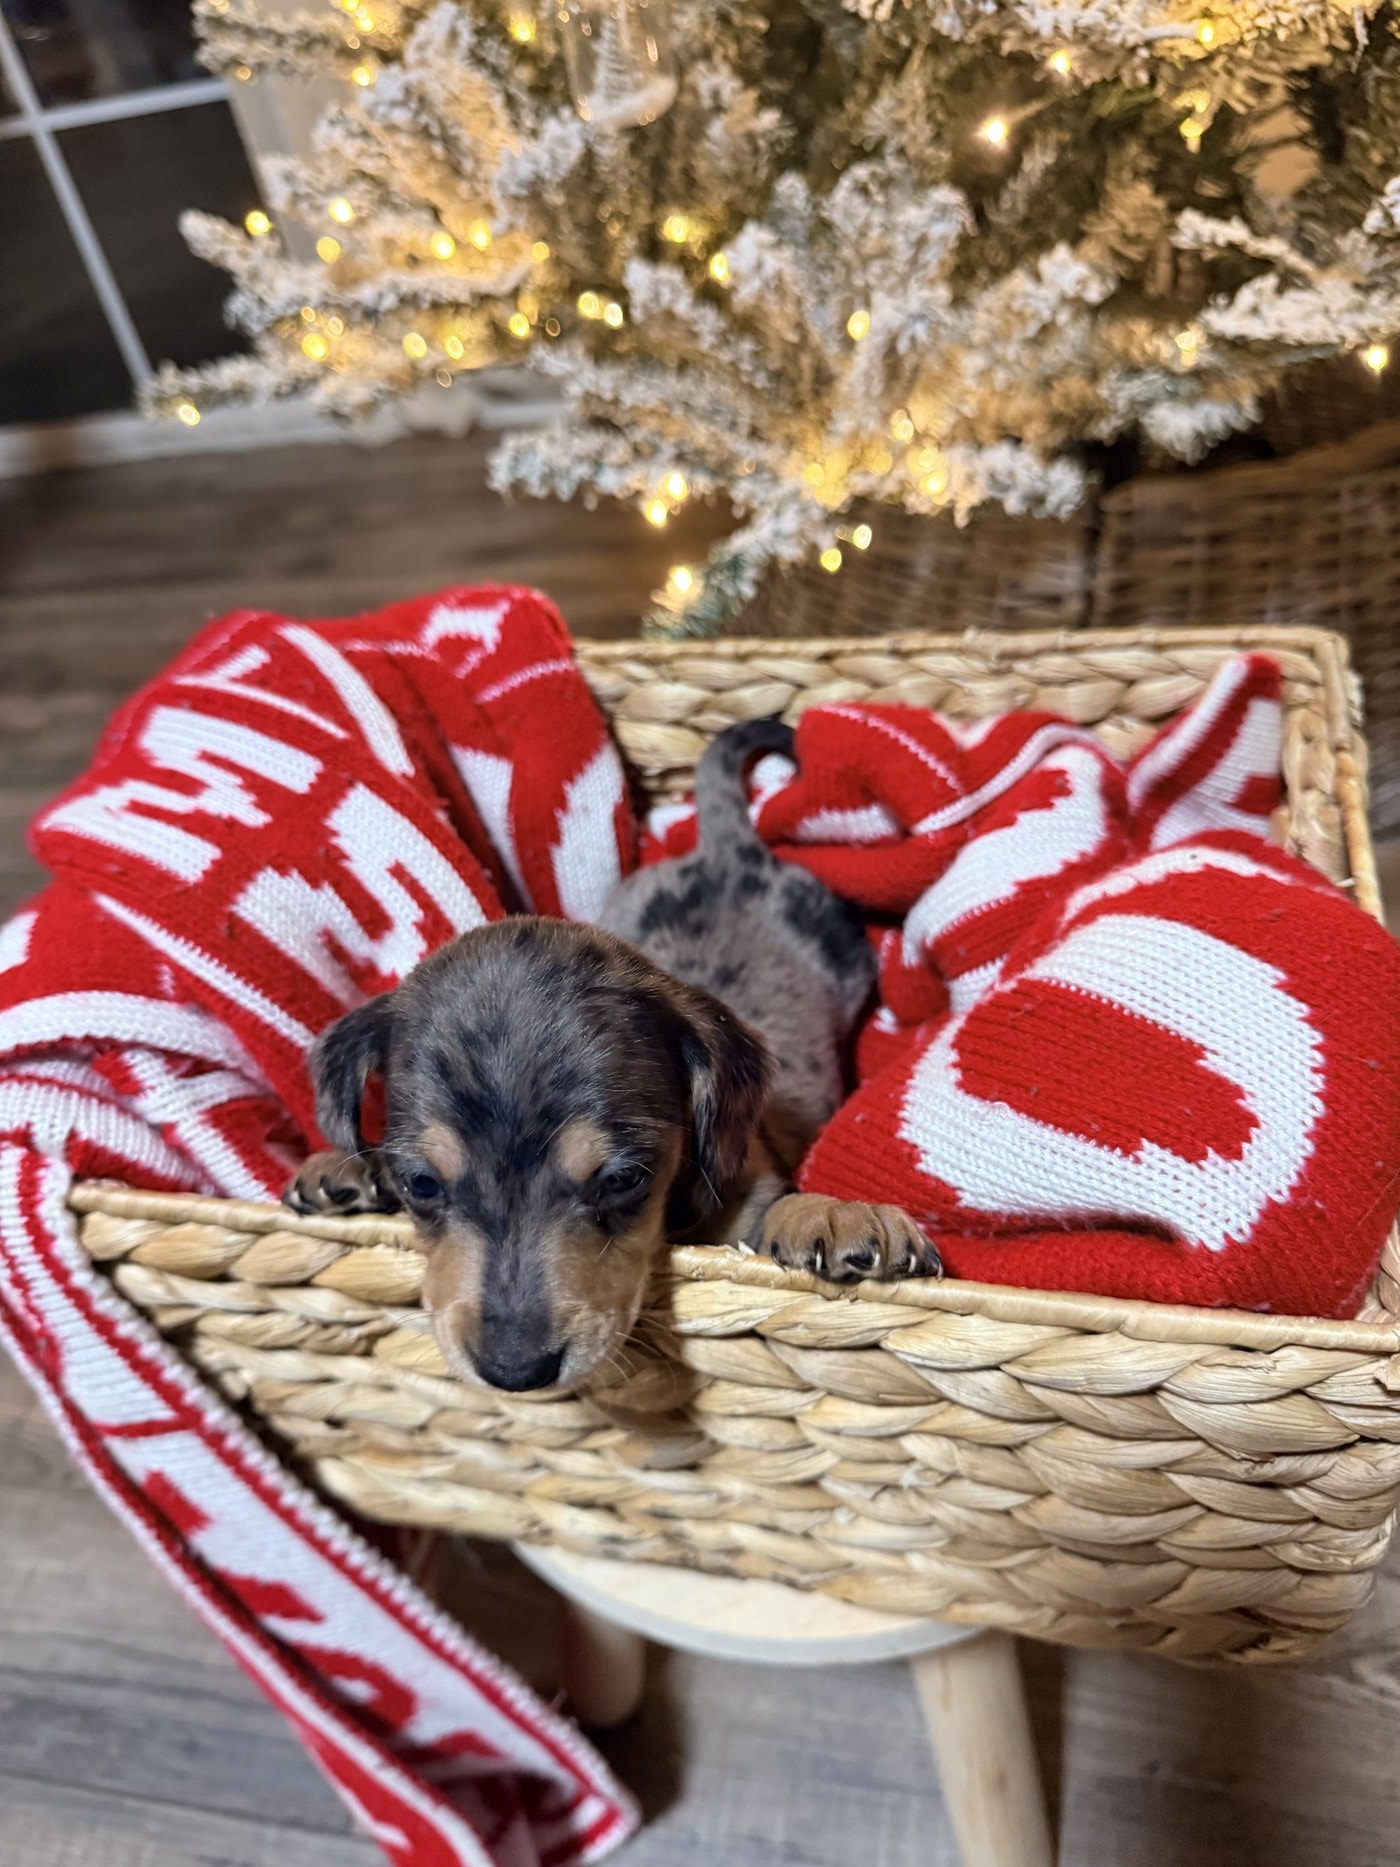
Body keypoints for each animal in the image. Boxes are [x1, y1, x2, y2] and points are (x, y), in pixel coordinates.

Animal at [286, 719, 939, 1393]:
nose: (515, 1372)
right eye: (420, 1182)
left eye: (625, 1179)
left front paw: (836, 1215)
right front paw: (346, 1169)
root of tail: (730, 849)